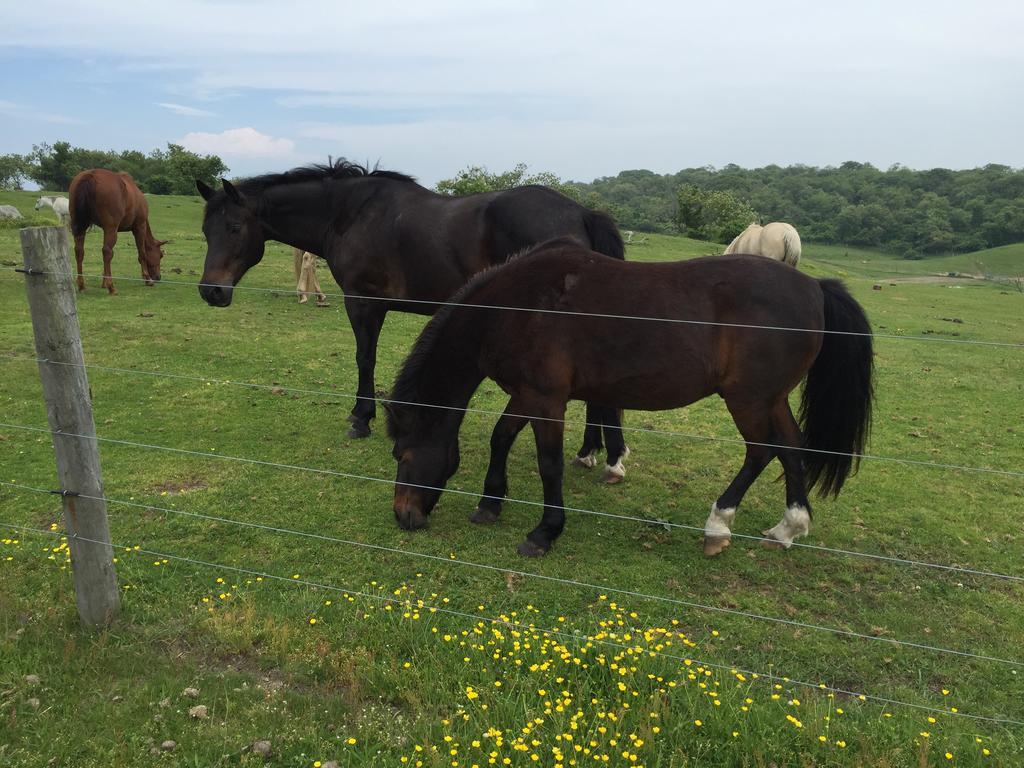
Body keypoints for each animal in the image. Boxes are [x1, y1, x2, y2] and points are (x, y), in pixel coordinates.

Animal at [192, 159, 626, 479]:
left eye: (234, 227)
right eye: (206, 230)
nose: (211, 291)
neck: (349, 213)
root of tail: (582, 212)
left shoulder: (363, 302)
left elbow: (365, 359)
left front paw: (361, 419)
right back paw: (594, 452)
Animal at [385, 240, 872, 561]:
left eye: (403, 453)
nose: (403, 515)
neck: (517, 306)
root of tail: (813, 287)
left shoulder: (546, 400)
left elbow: (549, 463)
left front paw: (545, 532)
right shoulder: (526, 395)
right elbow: (500, 437)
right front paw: (489, 504)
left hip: (748, 400)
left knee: (761, 451)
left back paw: (718, 525)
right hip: (771, 399)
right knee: (790, 446)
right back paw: (789, 526)